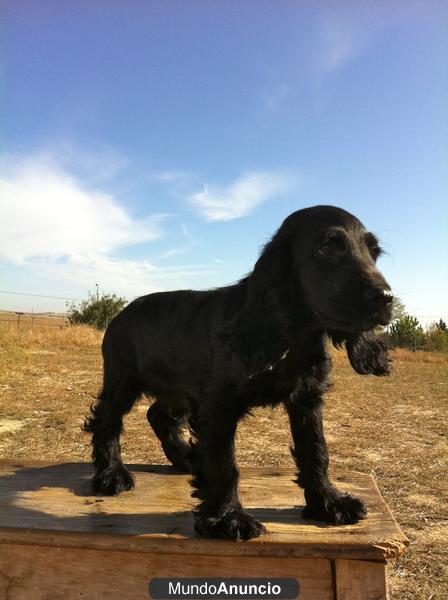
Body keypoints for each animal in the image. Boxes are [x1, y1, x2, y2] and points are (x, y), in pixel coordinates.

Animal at [85, 205, 392, 540]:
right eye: (327, 247)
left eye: (374, 253)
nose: (386, 297)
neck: (290, 335)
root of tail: (121, 312)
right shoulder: (219, 405)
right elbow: (225, 465)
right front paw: (228, 518)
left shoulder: (307, 399)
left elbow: (315, 451)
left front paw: (329, 503)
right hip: (123, 380)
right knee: (106, 421)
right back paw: (111, 475)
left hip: (179, 390)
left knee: (158, 415)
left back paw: (188, 459)